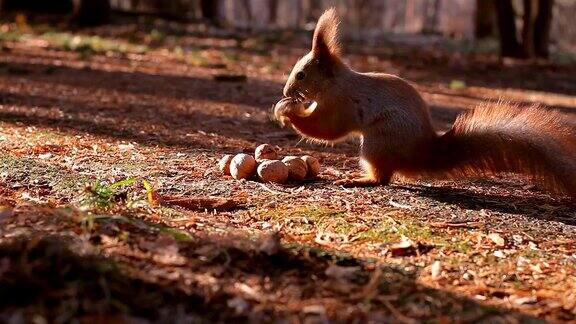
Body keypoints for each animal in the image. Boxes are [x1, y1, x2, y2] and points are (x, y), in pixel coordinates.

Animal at [276, 8, 576, 197]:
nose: (286, 90)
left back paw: (358, 180)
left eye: (301, 75)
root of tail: (421, 152)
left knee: (383, 177)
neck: (335, 83)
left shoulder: (342, 103)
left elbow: (326, 129)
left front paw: (286, 110)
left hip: (378, 141)